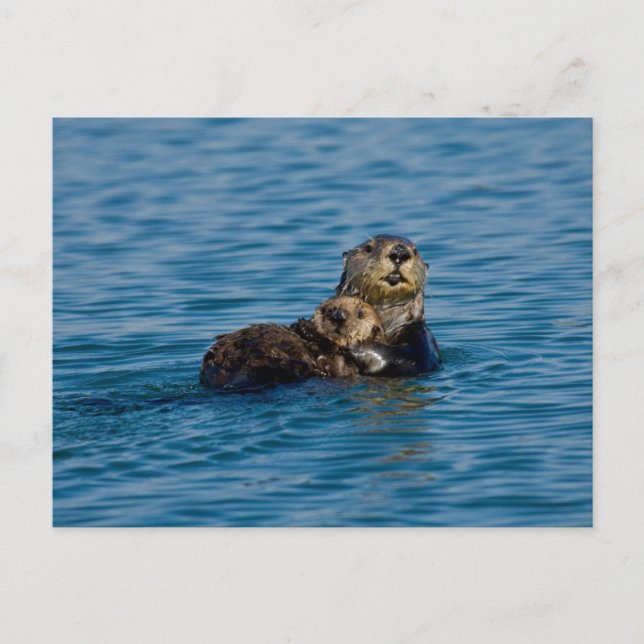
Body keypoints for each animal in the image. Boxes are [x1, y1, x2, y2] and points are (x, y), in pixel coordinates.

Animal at [200, 296, 384, 390]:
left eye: (360, 314)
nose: (338, 316)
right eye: (326, 310)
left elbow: (336, 364)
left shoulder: (345, 366)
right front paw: (303, 326)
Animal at [336, 234, 441, 376]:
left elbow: (406, 359)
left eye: (415, 251)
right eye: (368, 248)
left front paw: (354, 345)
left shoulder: (422, 340)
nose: (399, 252)